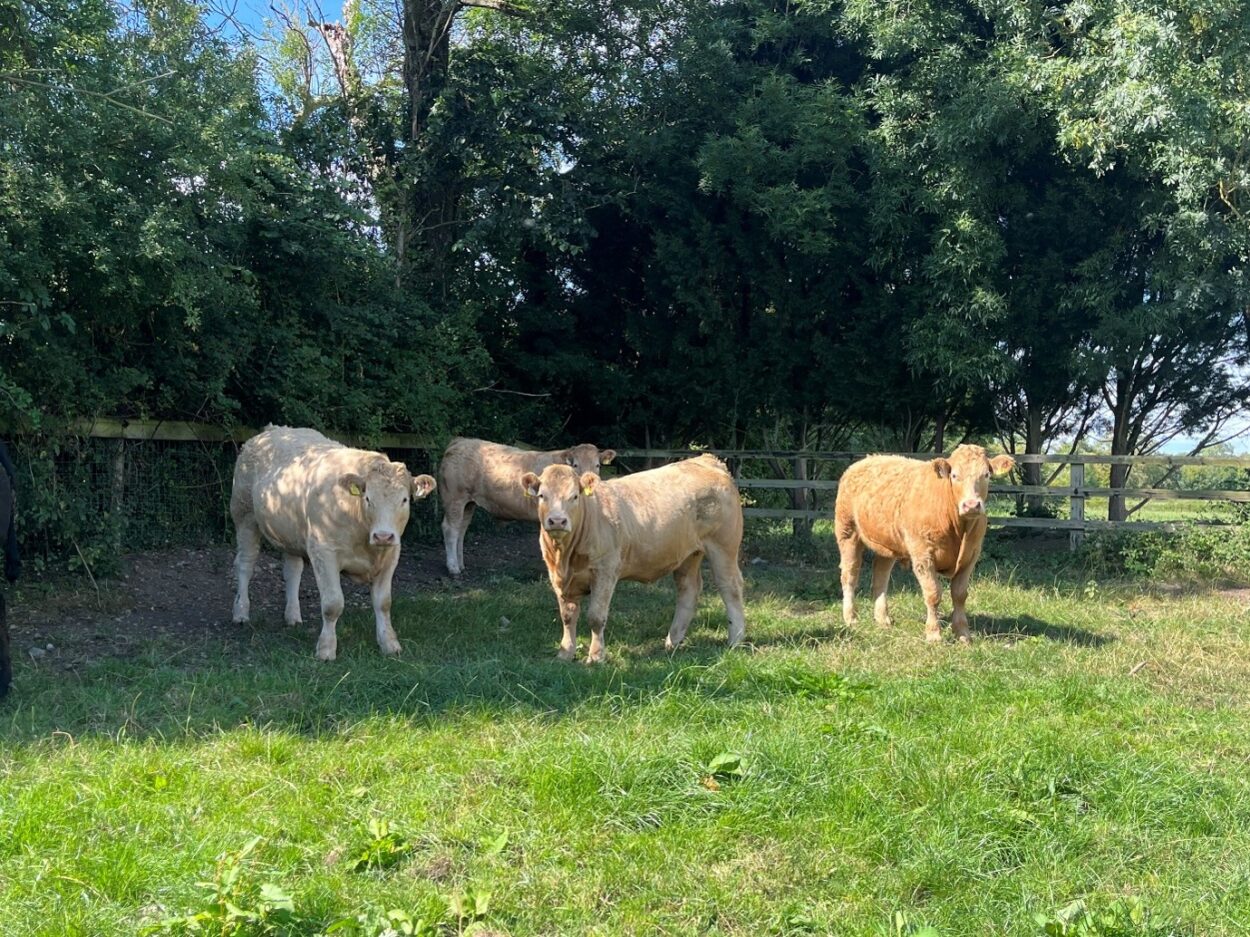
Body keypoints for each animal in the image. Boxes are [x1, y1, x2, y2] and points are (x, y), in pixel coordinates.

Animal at [230, 426, 436, 661]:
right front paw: (326, 649)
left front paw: (389, 644)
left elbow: (383, 602)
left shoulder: (391, 554)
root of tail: (271, 430)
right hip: (244, 516)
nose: (383, 536)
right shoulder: (323, 551)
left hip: (290, 533)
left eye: (404, 499)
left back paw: (292, 615)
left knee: (292, 570)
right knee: (245, 564)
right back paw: (241, 612)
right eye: (368, 498)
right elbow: (332, 604)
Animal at [438, 437, 616, 576]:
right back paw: (453, 568)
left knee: (461, 530)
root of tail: (460, 441)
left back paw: (461, 565)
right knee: (450, 529)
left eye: (598, 465)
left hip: (468, 503)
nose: (589, 480)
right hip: (455, 498)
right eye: (576, 465)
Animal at [520, 454, 746, 663]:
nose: (557, 521)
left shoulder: (605, 571)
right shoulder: (558, 577)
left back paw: (735, 639)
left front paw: (596, 656)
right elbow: (567, 617)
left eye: (575, 496)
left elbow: (596, 616)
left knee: (731, 588)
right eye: (542, 496)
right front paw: (565, 653)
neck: (565, 556)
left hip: (723, 547)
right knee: (688, 590)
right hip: (688, 554)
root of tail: (706, 460)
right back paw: (673, 641)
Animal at [835, 444, 1014, 643]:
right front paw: (933, 634)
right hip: (847, 531)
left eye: (986, 474)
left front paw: (963, 634)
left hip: (887, 543)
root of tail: (866, 459)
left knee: (880, 575)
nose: (971, 505)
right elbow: (933, 593)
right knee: (850, 574)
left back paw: (883, 619)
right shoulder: (923, 553)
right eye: (954, 475)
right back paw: (850, 618)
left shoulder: (971, 556)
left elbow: (960, 594)